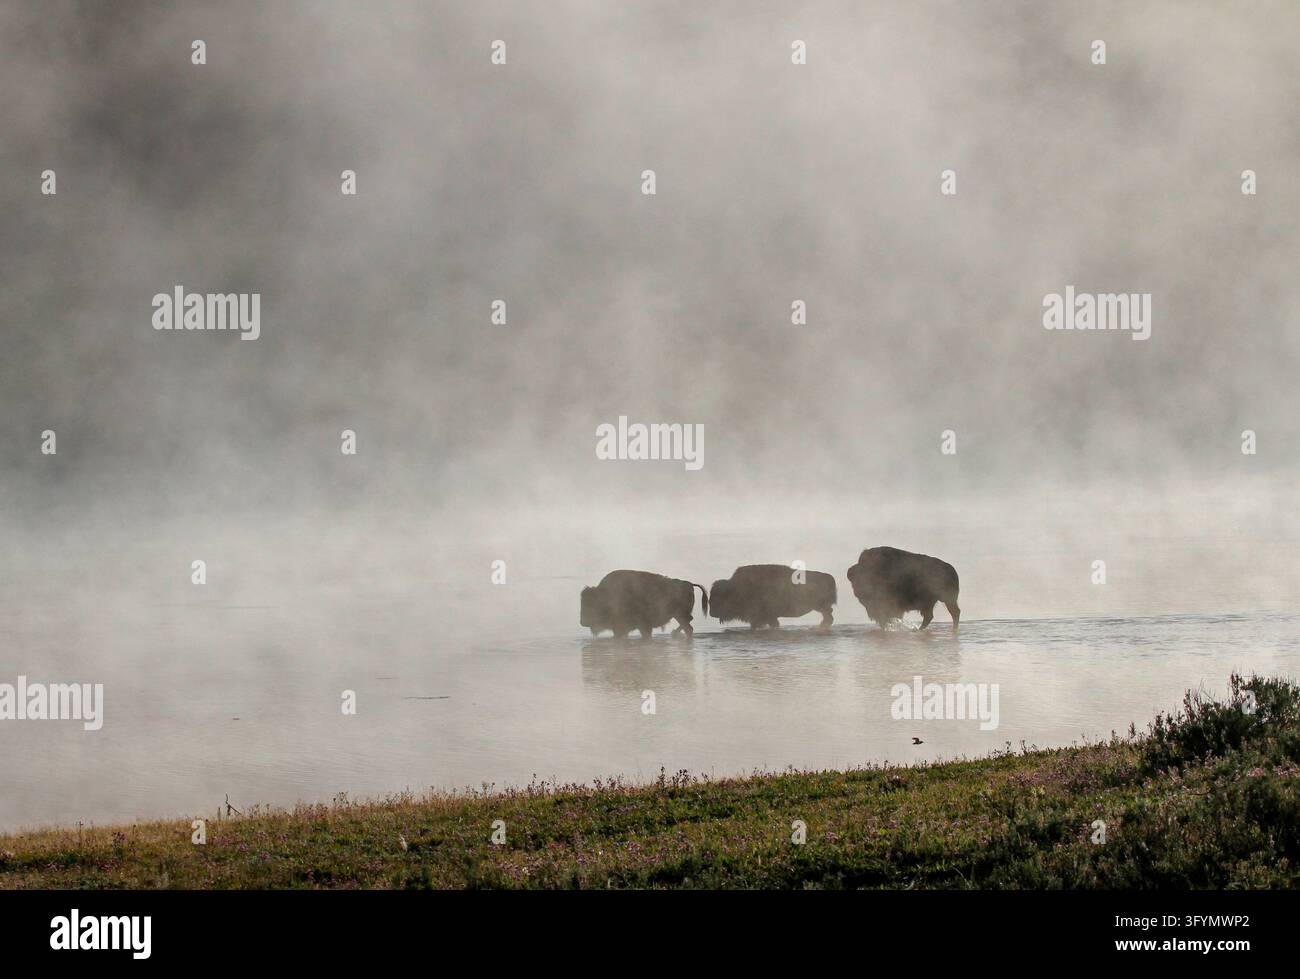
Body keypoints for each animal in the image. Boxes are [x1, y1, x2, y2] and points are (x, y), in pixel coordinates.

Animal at [580, 570, 709, 638]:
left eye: (590, 604)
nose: (582, 622)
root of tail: (689, 584)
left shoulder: (639, 626)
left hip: (679, 615)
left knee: (688, 626)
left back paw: (674, 633)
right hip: (678, 615)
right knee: (689, 626)